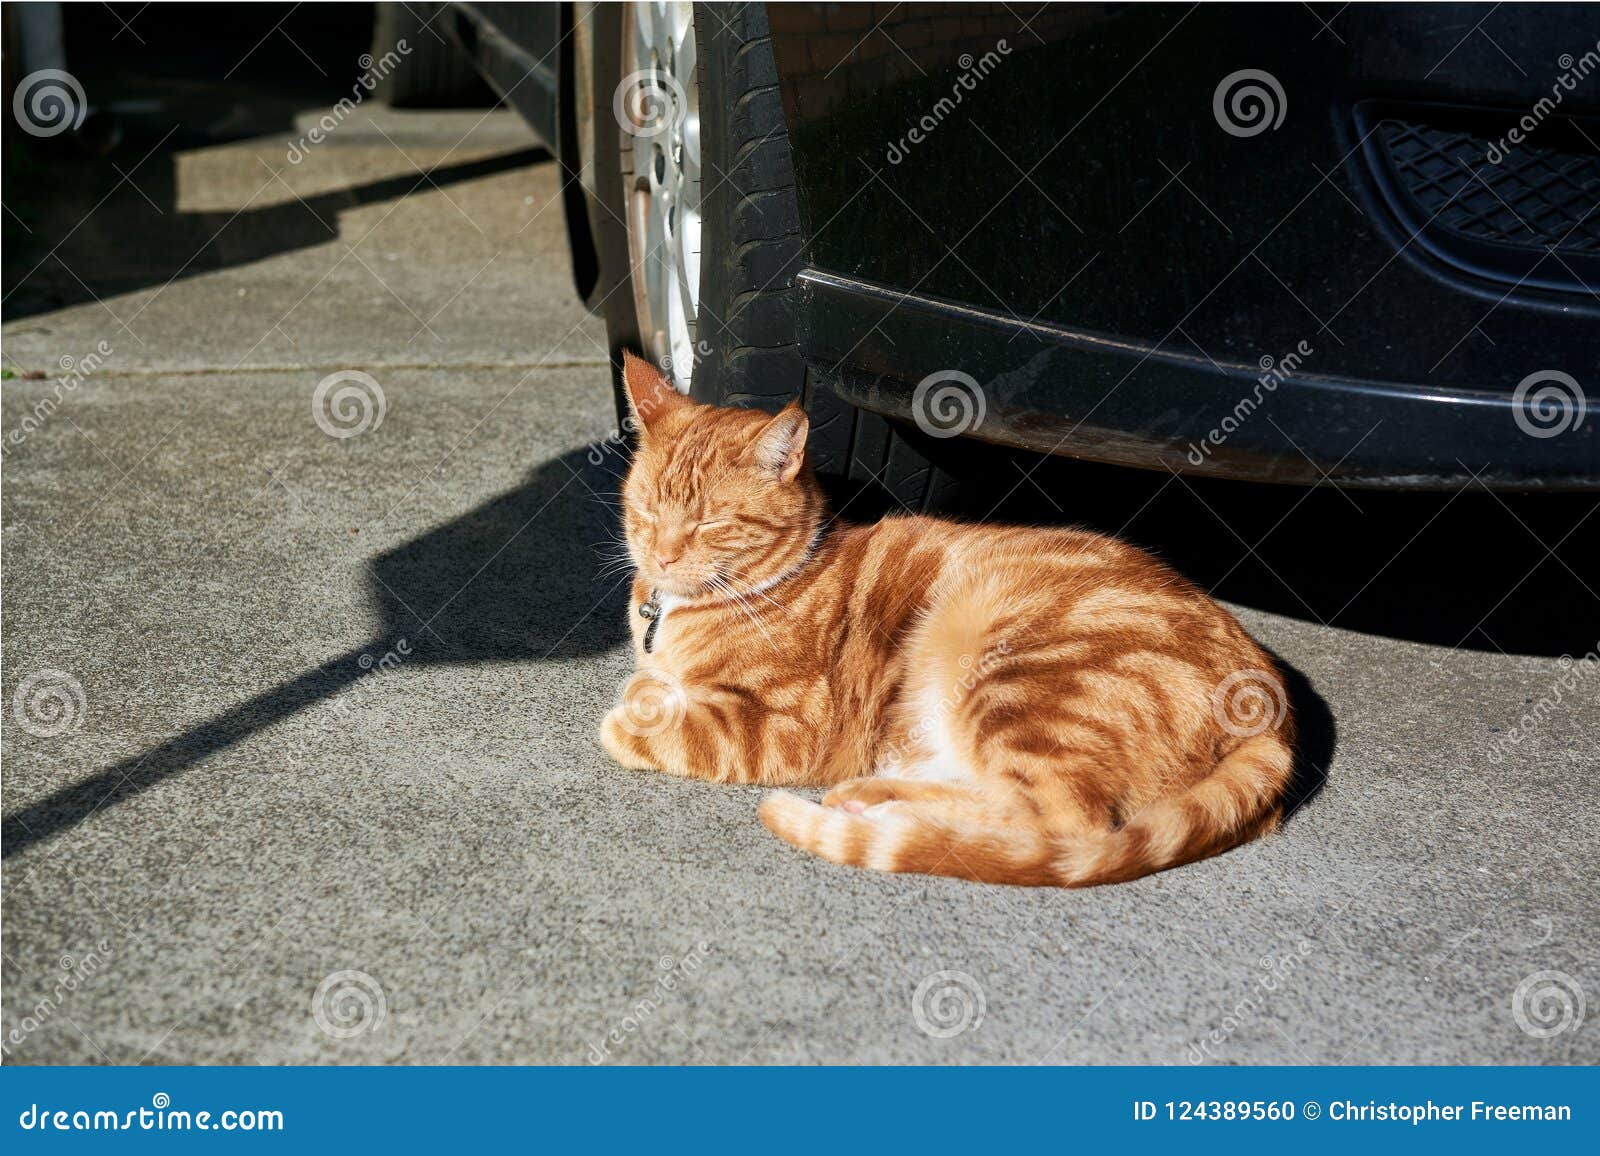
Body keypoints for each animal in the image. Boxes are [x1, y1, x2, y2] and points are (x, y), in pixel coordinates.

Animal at [601, 355, 1299, 890]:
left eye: (709, 522)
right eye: (646, 509)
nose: (662, 555)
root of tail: (1268, 697)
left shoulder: (789, 726)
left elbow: (649, 720)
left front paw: (638, 707)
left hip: (1013, 672)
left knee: (1064, 820)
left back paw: (880, 811)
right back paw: (876, 797)